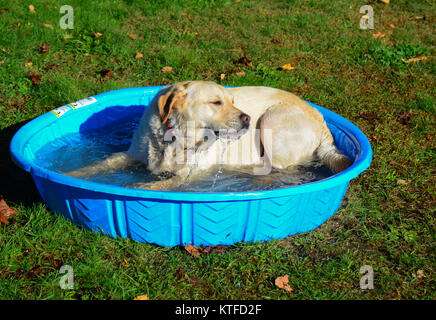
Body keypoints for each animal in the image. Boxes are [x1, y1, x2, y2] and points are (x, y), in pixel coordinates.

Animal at [69, 80, 354, 190]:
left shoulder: (188, 174)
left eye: (232, 101)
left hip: (272, 121)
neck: (176, 138)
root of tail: (325, 127)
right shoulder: (132, 155)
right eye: (216, 102)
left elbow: (154, 186)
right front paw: (72, 174)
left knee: (283, 170)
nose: (246, 118)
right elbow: (102, 163)